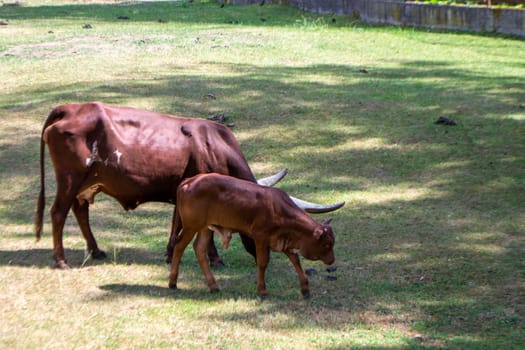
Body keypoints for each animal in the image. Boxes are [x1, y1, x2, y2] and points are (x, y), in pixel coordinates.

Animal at [33, 101, 344, 268]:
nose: (257, 255)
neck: (215, 146)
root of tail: (69, 108)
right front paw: (214, 258)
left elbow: (177, 223)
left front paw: (170, 252)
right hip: (70, 178)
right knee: (58, 212)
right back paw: (61, 260)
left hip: (86, 183)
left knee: (80, 211)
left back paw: (95, 250)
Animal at [170, 174, 338, 296]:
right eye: (326, 244)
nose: (332, 260)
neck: (279, 209)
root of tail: (189, 181)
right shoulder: (260, 236)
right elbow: (263, 262)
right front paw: (262, 290)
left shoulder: (281, 239)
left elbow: (295, 259)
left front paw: (305, 288)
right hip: (191, 226)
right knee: (179, 247)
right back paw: (172, 282)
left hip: (205, 227)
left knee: (199, 249)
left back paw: (213, 286)